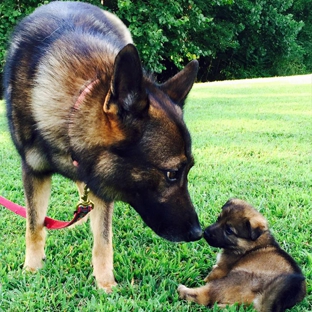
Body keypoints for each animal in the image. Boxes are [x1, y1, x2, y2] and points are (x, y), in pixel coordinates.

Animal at [3, 1, 202, 292]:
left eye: (187, 171)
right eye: (172, 174)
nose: (198, 233)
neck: (74, 106)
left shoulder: (103, 182)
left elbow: (103, 241)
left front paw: (106, 285)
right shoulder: (34, 172)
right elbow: (34, 225)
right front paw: (32, 269)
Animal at [177, 199, 306, 310]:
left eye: (229, 230)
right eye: (218, 219)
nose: (205, 233)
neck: (251, 244)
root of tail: (258, 302)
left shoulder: (222, 268)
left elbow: (211, 276)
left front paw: (205, 278)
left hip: (233, 278)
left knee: (205, 296)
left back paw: (182, 289)